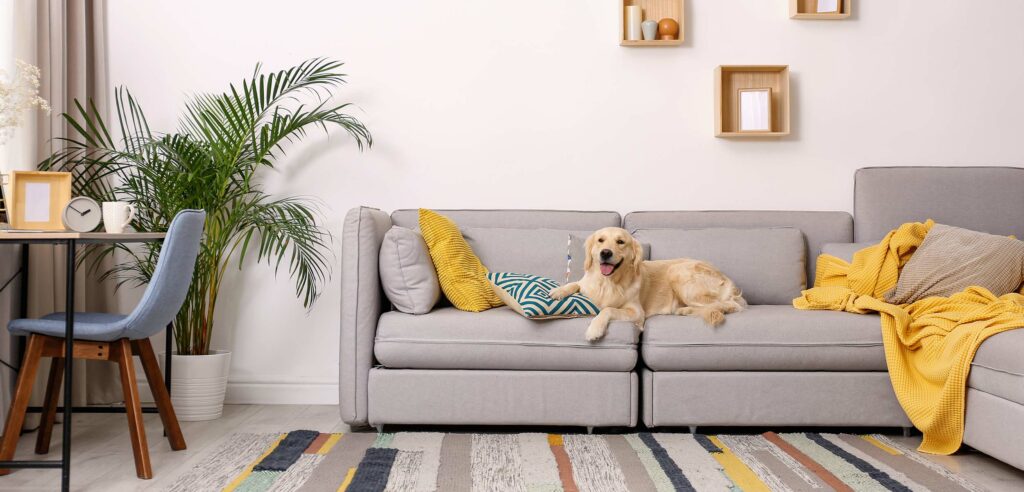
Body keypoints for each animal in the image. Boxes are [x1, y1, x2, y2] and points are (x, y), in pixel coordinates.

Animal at [548, 227, 749, 340]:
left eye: (620, 242)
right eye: (600, 240)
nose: (605, 252)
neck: (609, 282)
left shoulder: (637, 313)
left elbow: (607, 309)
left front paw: (594, 329)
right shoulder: (586, 284)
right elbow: (575, 284)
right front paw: (557, 291)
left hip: (679, 273)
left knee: (729, 305)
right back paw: (684, 310)